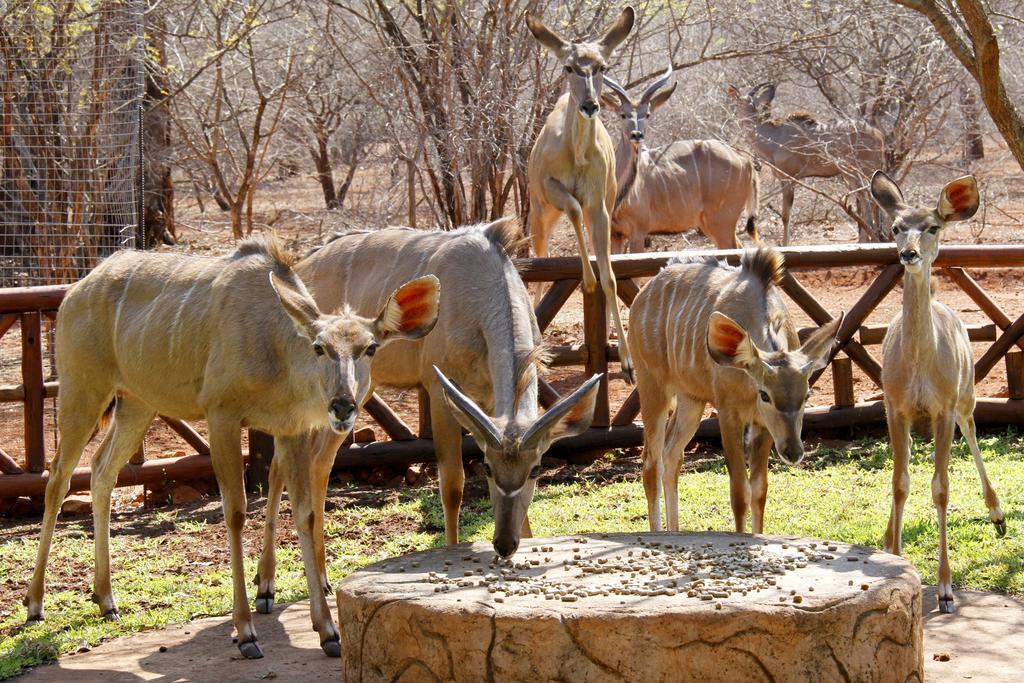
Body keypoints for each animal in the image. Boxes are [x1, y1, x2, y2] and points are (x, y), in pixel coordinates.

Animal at [23, 237, 440, 659]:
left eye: (370, 348)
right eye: (319, 347)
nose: (342, 406)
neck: (275, 343)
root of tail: (75, 291)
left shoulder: (291, 430)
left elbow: (304, 514)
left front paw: (328, 632)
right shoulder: (221, 416)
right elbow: (236, 512)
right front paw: (246, 632)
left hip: (136, 403)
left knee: (101, 471)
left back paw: (106, 599)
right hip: (83, 390)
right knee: (58, 477)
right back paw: (35, 603)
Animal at [256, 219, 602, 610]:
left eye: (537, 470)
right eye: (487, 468)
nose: (504, 544)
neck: (482, 285)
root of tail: (301, 268)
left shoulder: (488, 404)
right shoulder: (439, 394)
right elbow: (452, 484)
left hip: (356, 394)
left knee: (311, 463)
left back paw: (322, 580)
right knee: (286, 466)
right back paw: (266, 587)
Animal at [528, 7, 638, 385]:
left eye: (602, 65)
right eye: (569, 67)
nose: (590, 105)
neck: (575, 154)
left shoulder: (601, 206)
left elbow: (611, 278)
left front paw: (628, 363)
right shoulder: (550, 187)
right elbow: (573, 207)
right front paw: (586, 280)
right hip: (538, 212)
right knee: (539, 261)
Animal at [598, 66, 761, 252]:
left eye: (647, 114)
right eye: (622, 115)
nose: (637, 135)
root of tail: (746, 161)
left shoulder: (638, 232)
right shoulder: (614, 234)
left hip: (722, 220)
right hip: (708, 224)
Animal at [626, 249, 843, 532]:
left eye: (806, 396)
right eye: (765, 394)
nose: (794, 452)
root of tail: (643, 295)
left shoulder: (763, 425)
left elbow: (759, 491)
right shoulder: (728, 414)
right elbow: (740, 492)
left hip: (691, 400)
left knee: (671, 456)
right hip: (652, 386)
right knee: (651, 464)